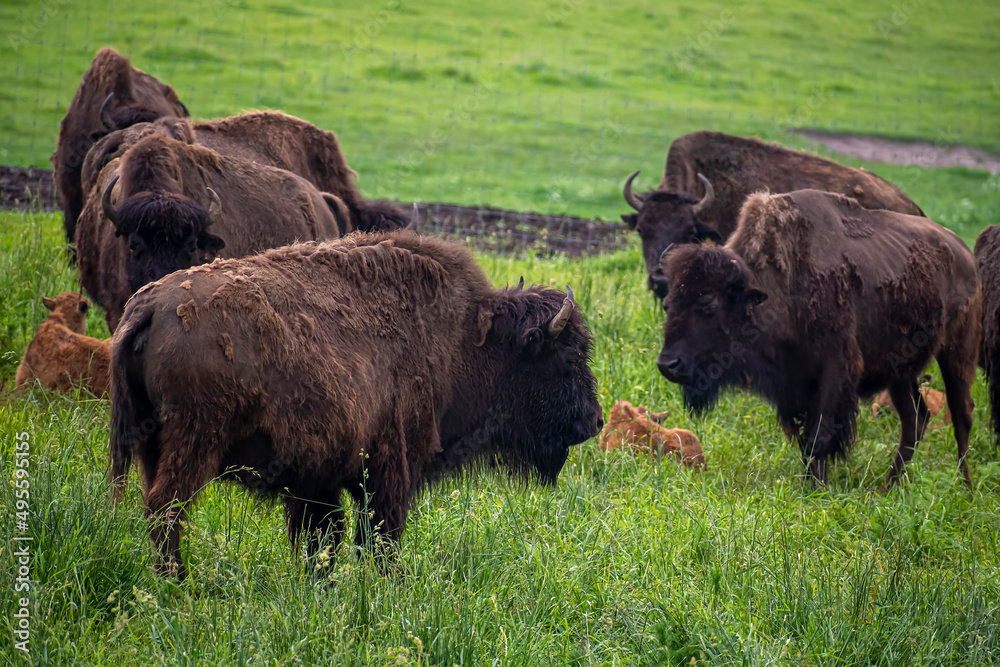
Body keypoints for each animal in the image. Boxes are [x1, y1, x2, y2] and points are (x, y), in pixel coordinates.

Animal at [113, 234, 604, 580]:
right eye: (566, 358)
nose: (595, 421)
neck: (468, 339)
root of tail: (148, 306)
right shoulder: (389, 470)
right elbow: (379, 536)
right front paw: (388, 584)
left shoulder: (316, 481)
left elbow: (323, 538)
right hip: (195, 443)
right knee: (166, 508)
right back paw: (179, 585)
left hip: (151, 446)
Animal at [656, 190, 976, 488]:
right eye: (668, 303)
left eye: (708, 304)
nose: (667, 364)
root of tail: (963, 251)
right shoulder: (796, 385)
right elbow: (806, 440)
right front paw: (811, 485)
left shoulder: (835, 371)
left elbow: (819, 437)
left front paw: (815, 491)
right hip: (900, 371)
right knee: (915, 419)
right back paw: (888, 488)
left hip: (955, 352)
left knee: (961, 415)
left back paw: (965, 488)